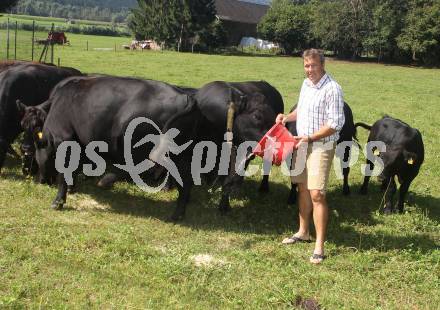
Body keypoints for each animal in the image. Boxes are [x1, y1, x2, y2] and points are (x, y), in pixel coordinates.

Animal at [23, 75, 201, 220]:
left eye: (36, 151)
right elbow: (76, 166)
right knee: (185, 181)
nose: (39, 180)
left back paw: (106, 180)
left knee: (144, 168)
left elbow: (64, 171)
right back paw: (178, 214)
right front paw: (72, 188)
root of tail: (184, 96)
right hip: (180, 154)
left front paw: (58, 201)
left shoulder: (64, 139)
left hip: (140, 145)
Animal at [193, 81, 284, 214]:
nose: (277, 138)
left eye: (274, 117)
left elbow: (228, 179)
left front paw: (224, 206)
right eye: (257, 116)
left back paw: (262, 187)